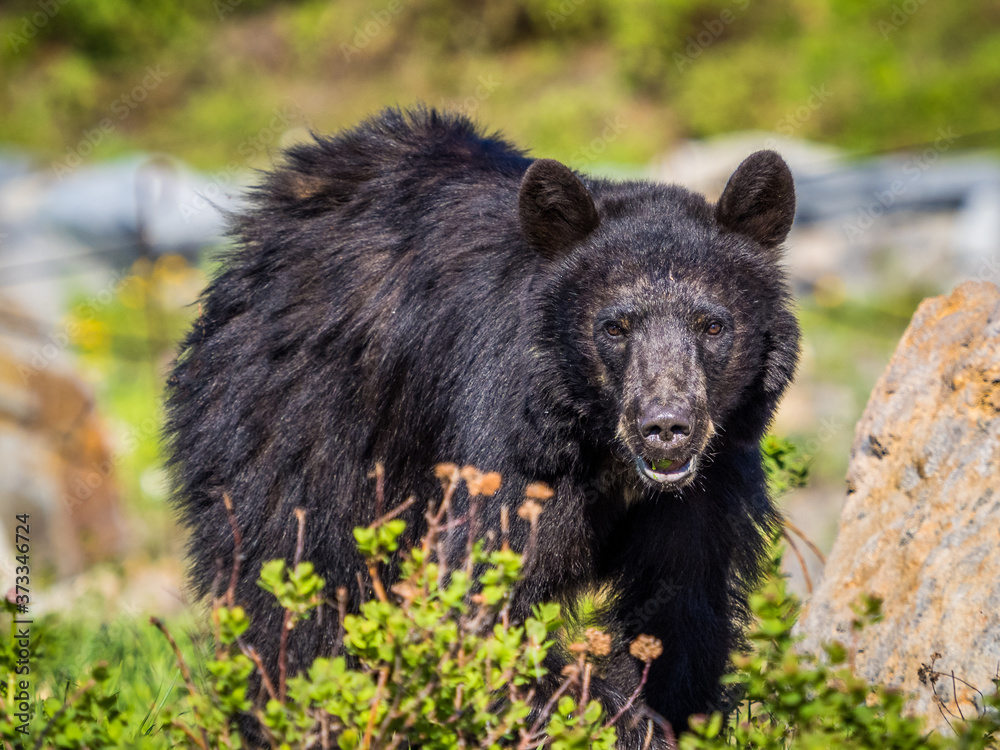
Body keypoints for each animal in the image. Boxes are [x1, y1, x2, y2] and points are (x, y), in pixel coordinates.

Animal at [165, 107, 799, 746]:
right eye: (615, 326)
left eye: (712, 325)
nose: (665, 426)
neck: (602, 448)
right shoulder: (513, 445)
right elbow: (483, 601)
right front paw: (615, 721)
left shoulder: (709, 482)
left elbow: (684, 609)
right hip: (296, 417)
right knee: (289, 581)